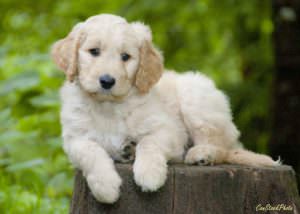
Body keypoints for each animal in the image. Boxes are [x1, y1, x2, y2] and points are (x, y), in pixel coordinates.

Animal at [51, 13, 278, 204]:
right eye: (94, 51)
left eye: (125, 57)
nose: (107, 81)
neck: (108, 106)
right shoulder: (74, 139)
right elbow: (91, 151)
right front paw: (105, 186)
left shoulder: (170, 130)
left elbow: (149, 143)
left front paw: (149, 174)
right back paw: (127, 151)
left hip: (196, 98)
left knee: (221, 146)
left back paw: (202, 154)